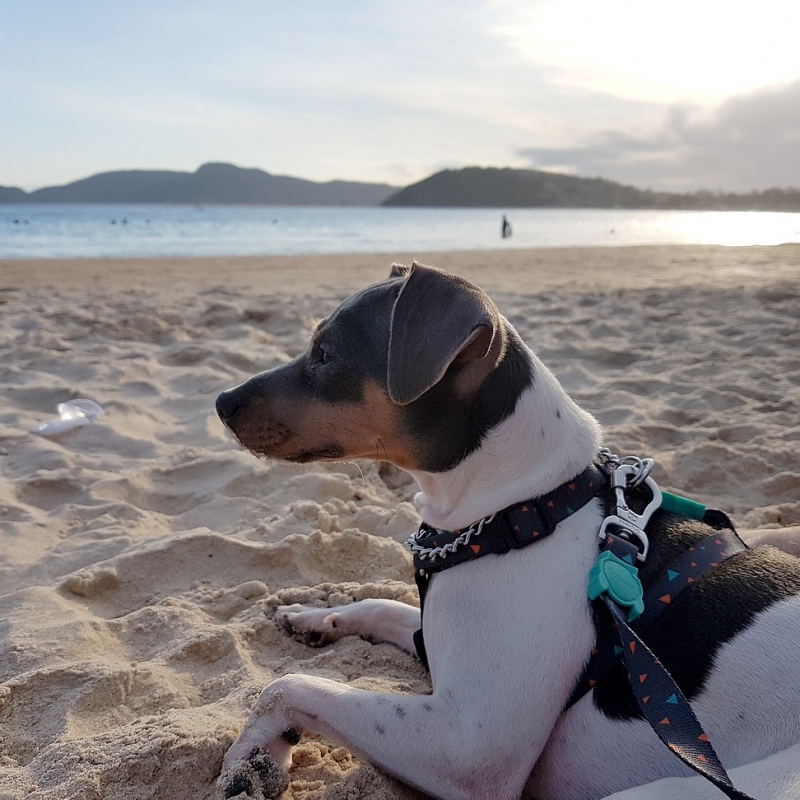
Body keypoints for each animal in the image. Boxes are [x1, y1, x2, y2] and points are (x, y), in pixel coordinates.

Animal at [212, 264, 800, 800]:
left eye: (326, 354)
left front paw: (249, 760)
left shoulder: (468, 746)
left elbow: (287, 686)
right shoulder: (439, 648)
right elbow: (378, 605)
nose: (220, 401)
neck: (526, 506)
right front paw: (313, 617)